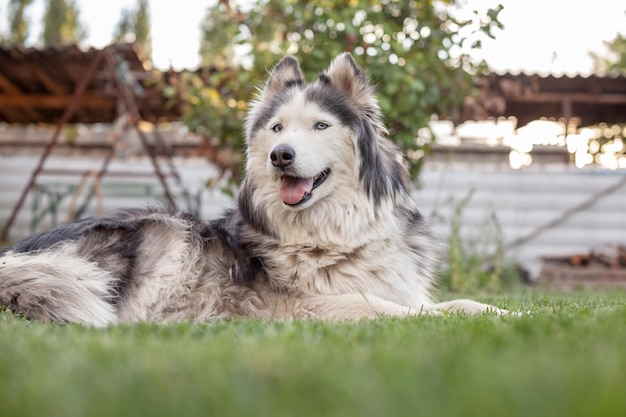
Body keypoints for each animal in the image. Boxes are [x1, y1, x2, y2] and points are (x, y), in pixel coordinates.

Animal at [0, 52, 508, 324]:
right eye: (278, 127)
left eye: (320, 125)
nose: (280, 154)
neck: (332, 231)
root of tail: (17, 256)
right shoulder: (316, 305)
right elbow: (411, 314)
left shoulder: (402, 289)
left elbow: (462, 303)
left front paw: (514, 316)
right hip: (165, 233)